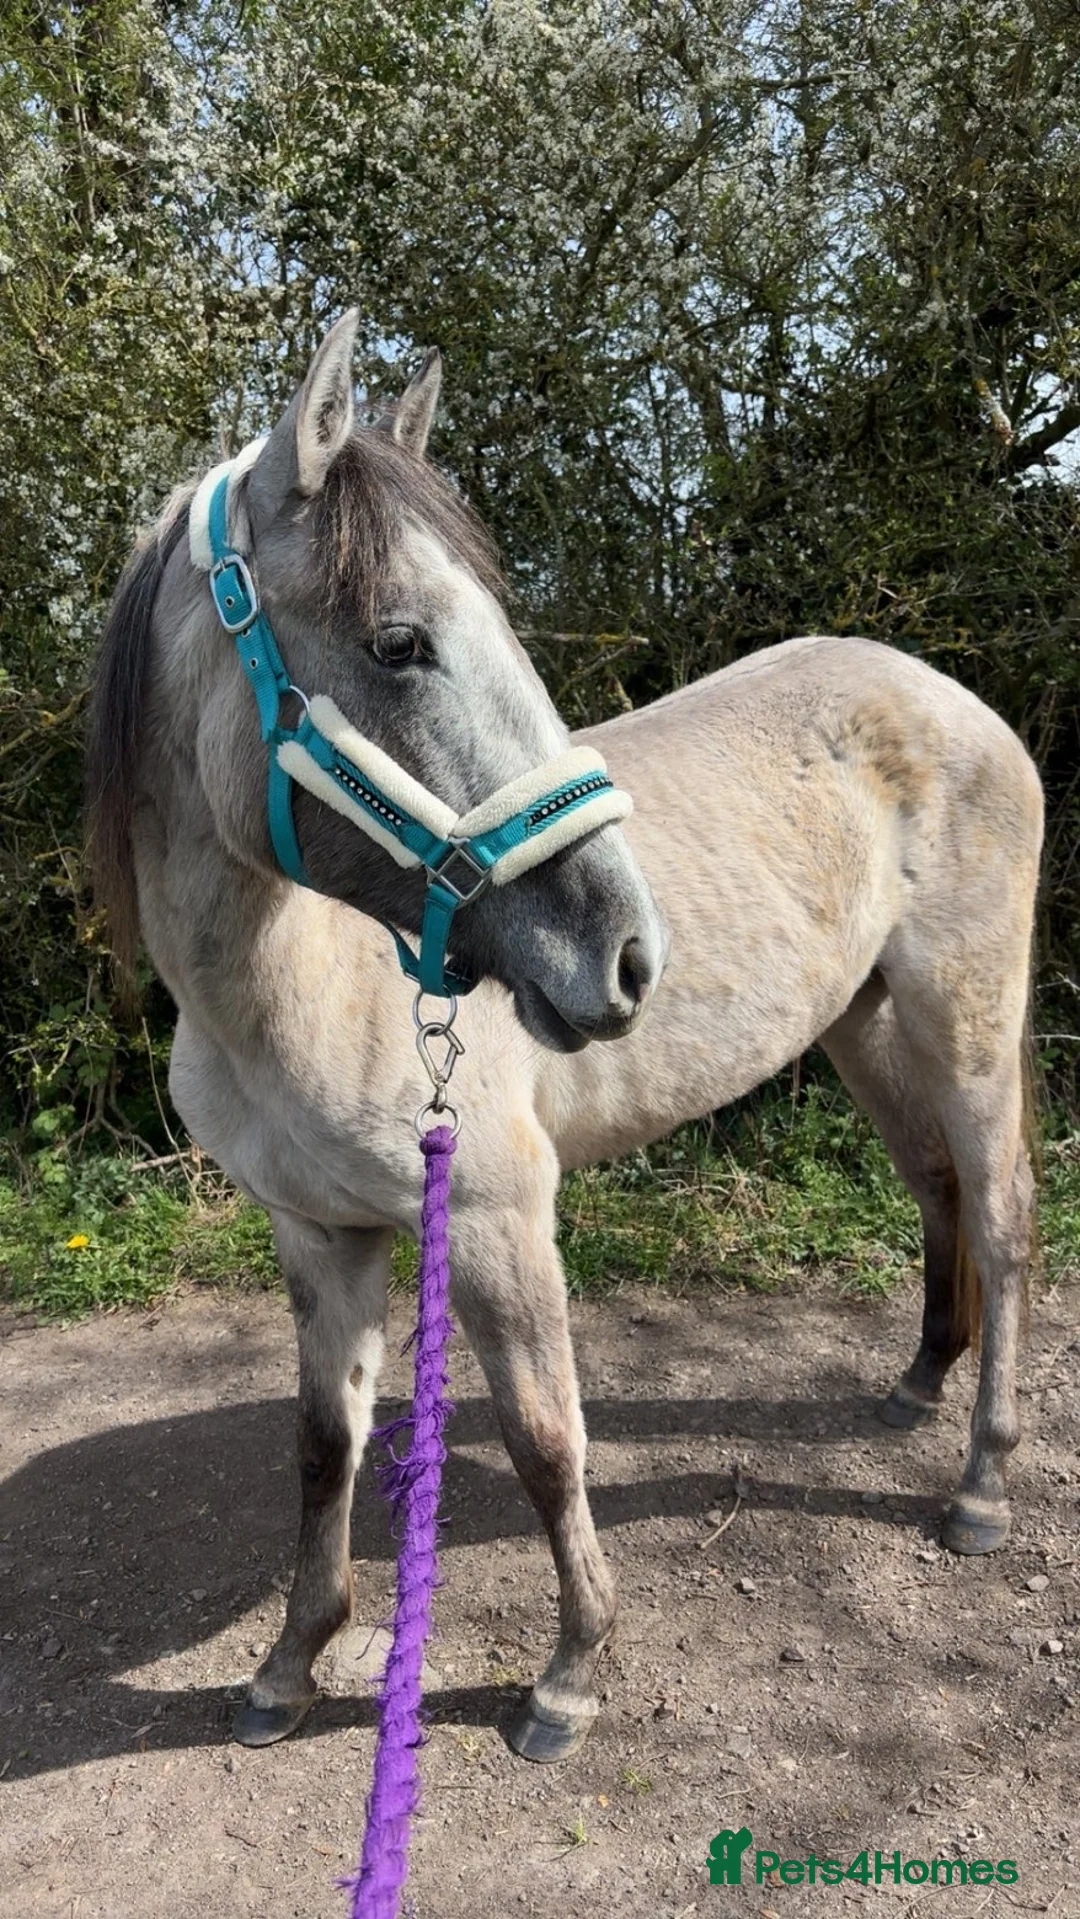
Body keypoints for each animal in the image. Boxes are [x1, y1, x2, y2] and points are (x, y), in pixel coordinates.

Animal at [87, 312, 1043, 1766]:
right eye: (400, 642)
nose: (629, 954)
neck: (287, 986)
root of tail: (953, 699)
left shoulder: (495, 1214)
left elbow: (547, 1439)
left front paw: (571, 1671)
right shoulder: (319, 1235)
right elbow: (322, 1447)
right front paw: (288, 1664)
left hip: (968, 1021)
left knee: (998, 1209)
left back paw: (981, 1483)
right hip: (864, 1029)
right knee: (935, 1189)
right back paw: (918, 1380)